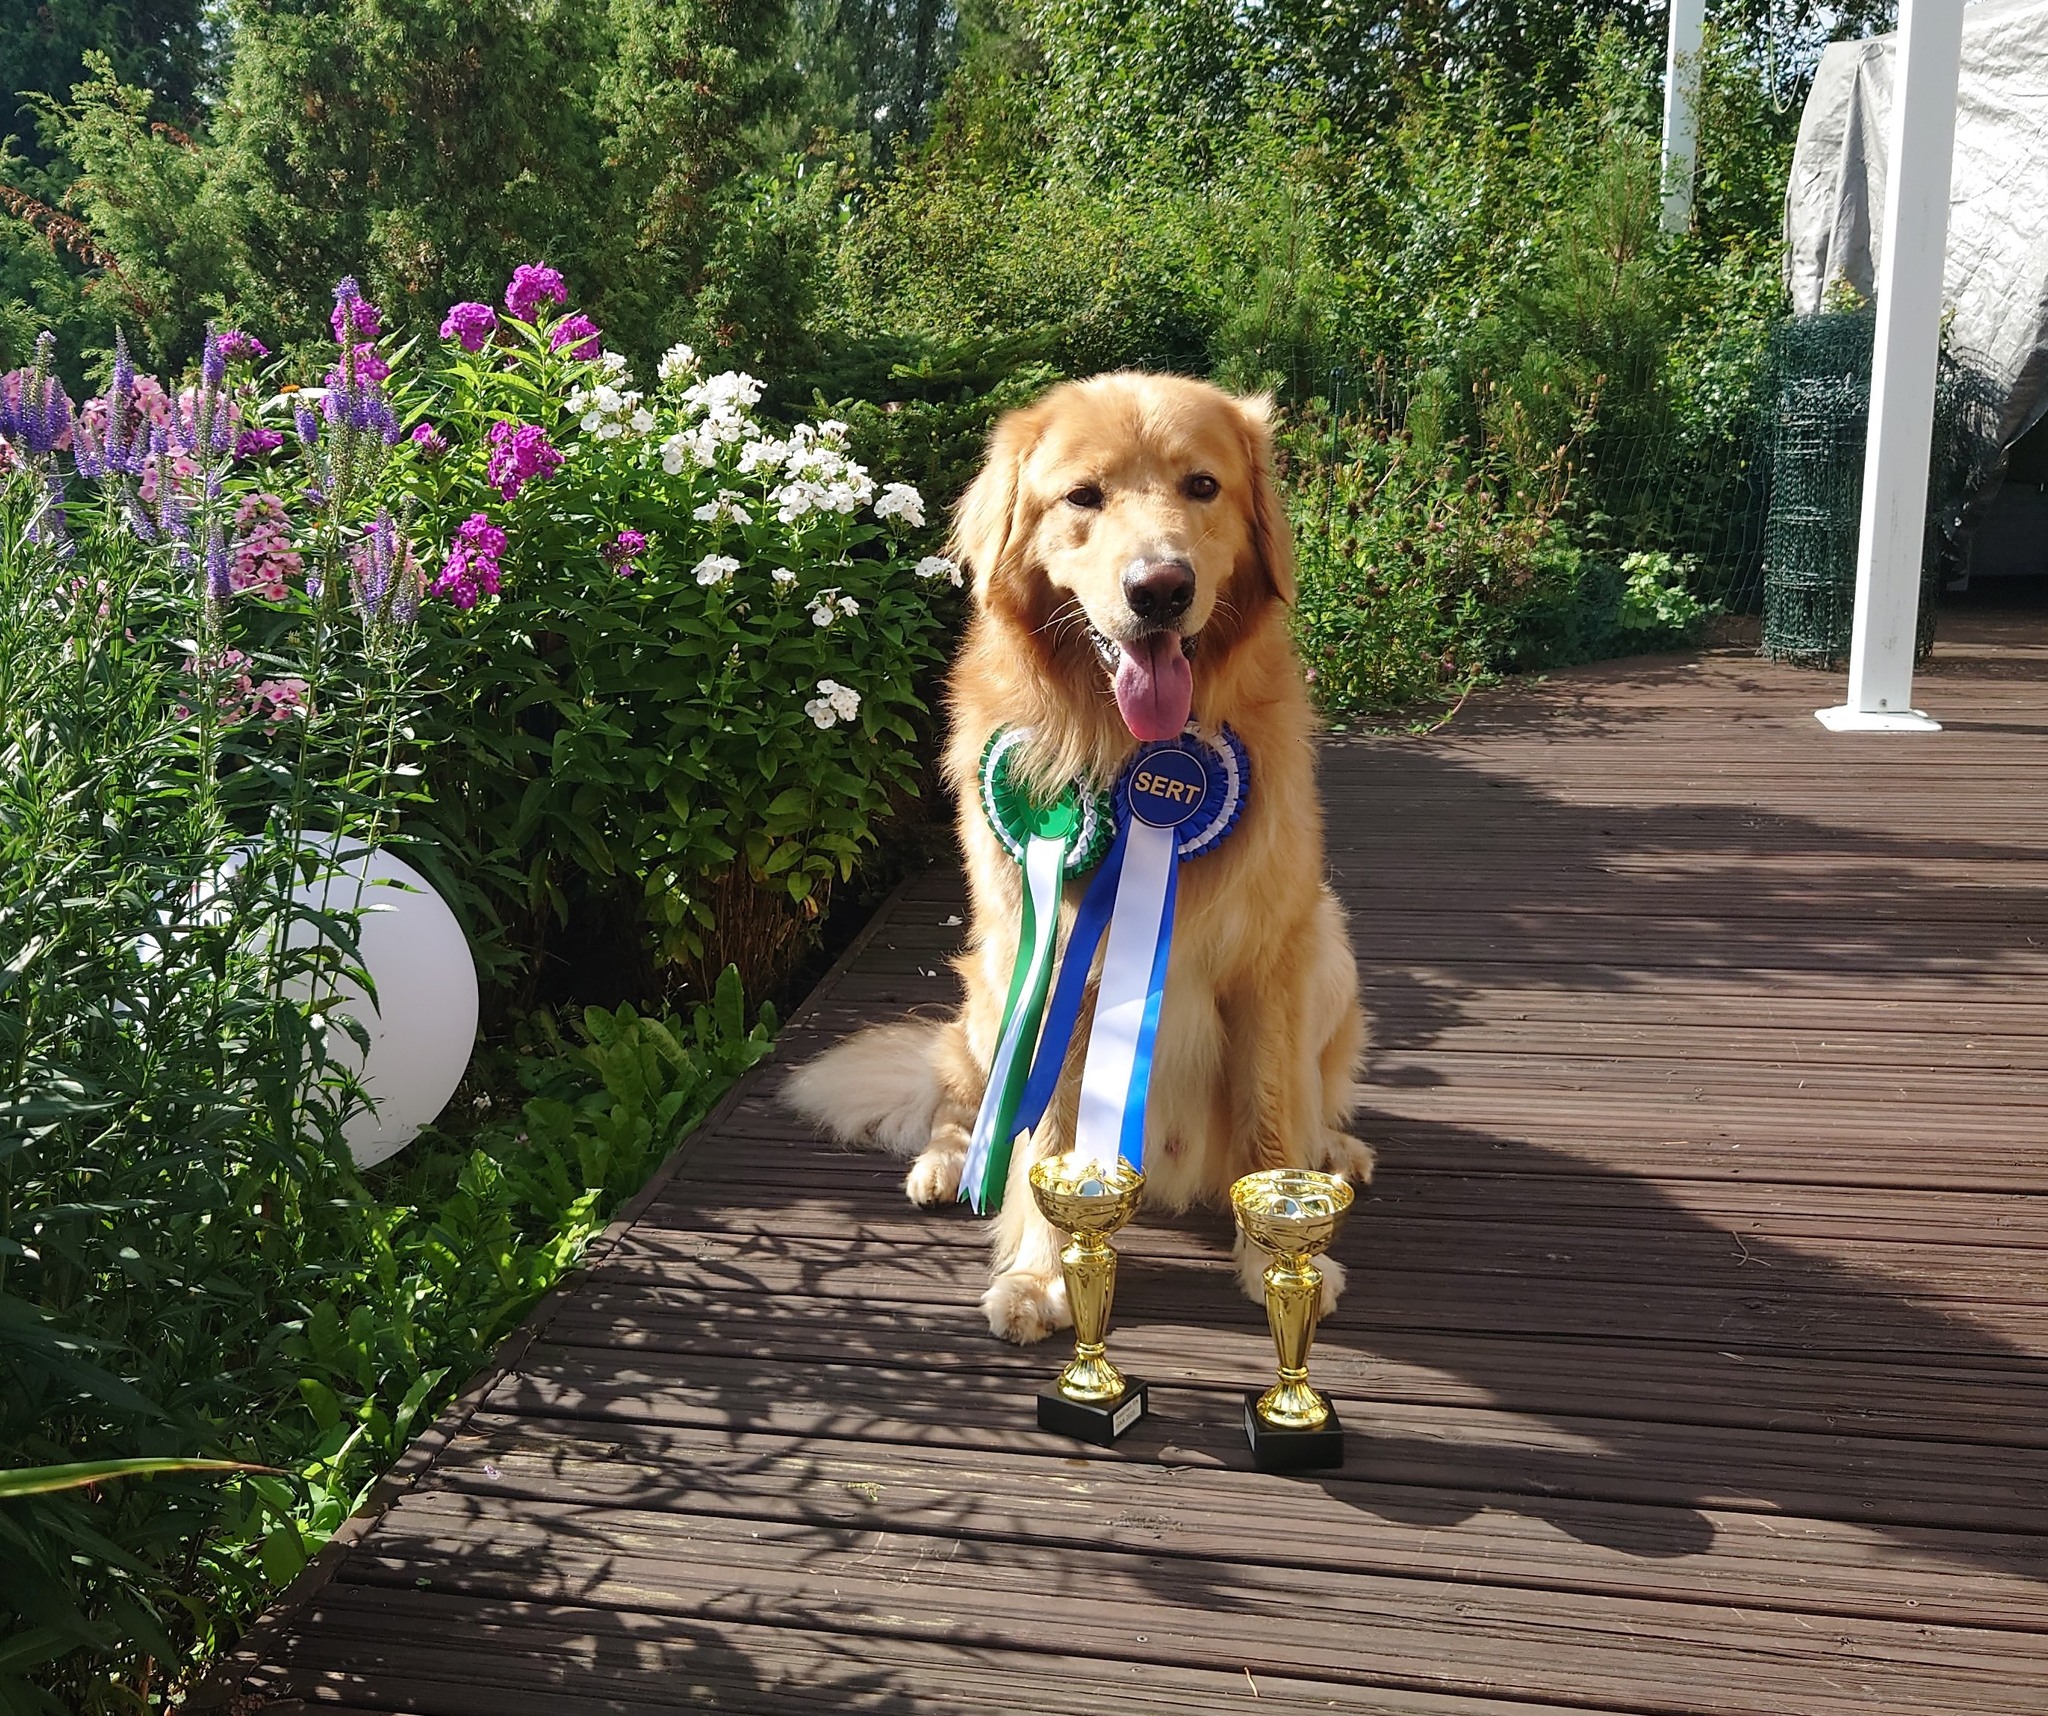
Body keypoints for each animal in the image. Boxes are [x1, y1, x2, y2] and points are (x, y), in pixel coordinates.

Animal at [785, 371, 1370, 1344]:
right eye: (1083, 497)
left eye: (1202, 486)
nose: (1160, 588)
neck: (1133, 758)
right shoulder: (1052, 957)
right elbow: (1048, 1140)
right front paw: (1041, 1274)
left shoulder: (1274, 959)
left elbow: (1272, 1112)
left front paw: (1282, 1249)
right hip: (990, 980)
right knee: (961, 1096)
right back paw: (949, 1161)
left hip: (1331, 947)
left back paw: (1336, 1148)